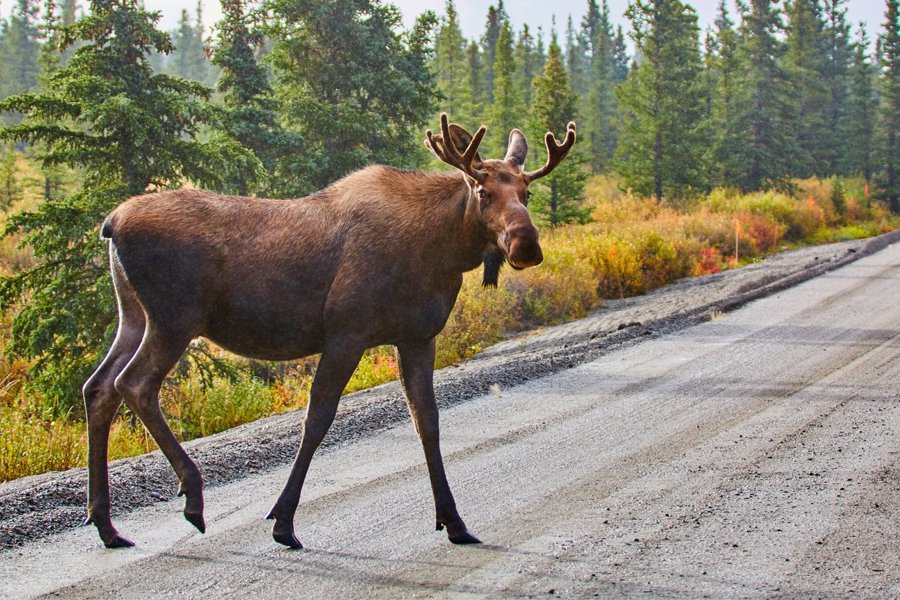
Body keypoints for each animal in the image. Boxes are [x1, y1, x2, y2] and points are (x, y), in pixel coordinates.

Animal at [82, 111, 576, 548]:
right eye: (482, 190)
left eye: (527, 193)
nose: (526, 244)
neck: (440, 252)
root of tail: (110, 223)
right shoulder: (346, 332)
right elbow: (317, 420)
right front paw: (283, 521)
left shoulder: (417, 337)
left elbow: (428, 422)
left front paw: (453, 521)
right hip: (174, 318)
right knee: (134, 384)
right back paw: (192, 496)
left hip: (133, 316)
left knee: (99, 387)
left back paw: (107, 526)